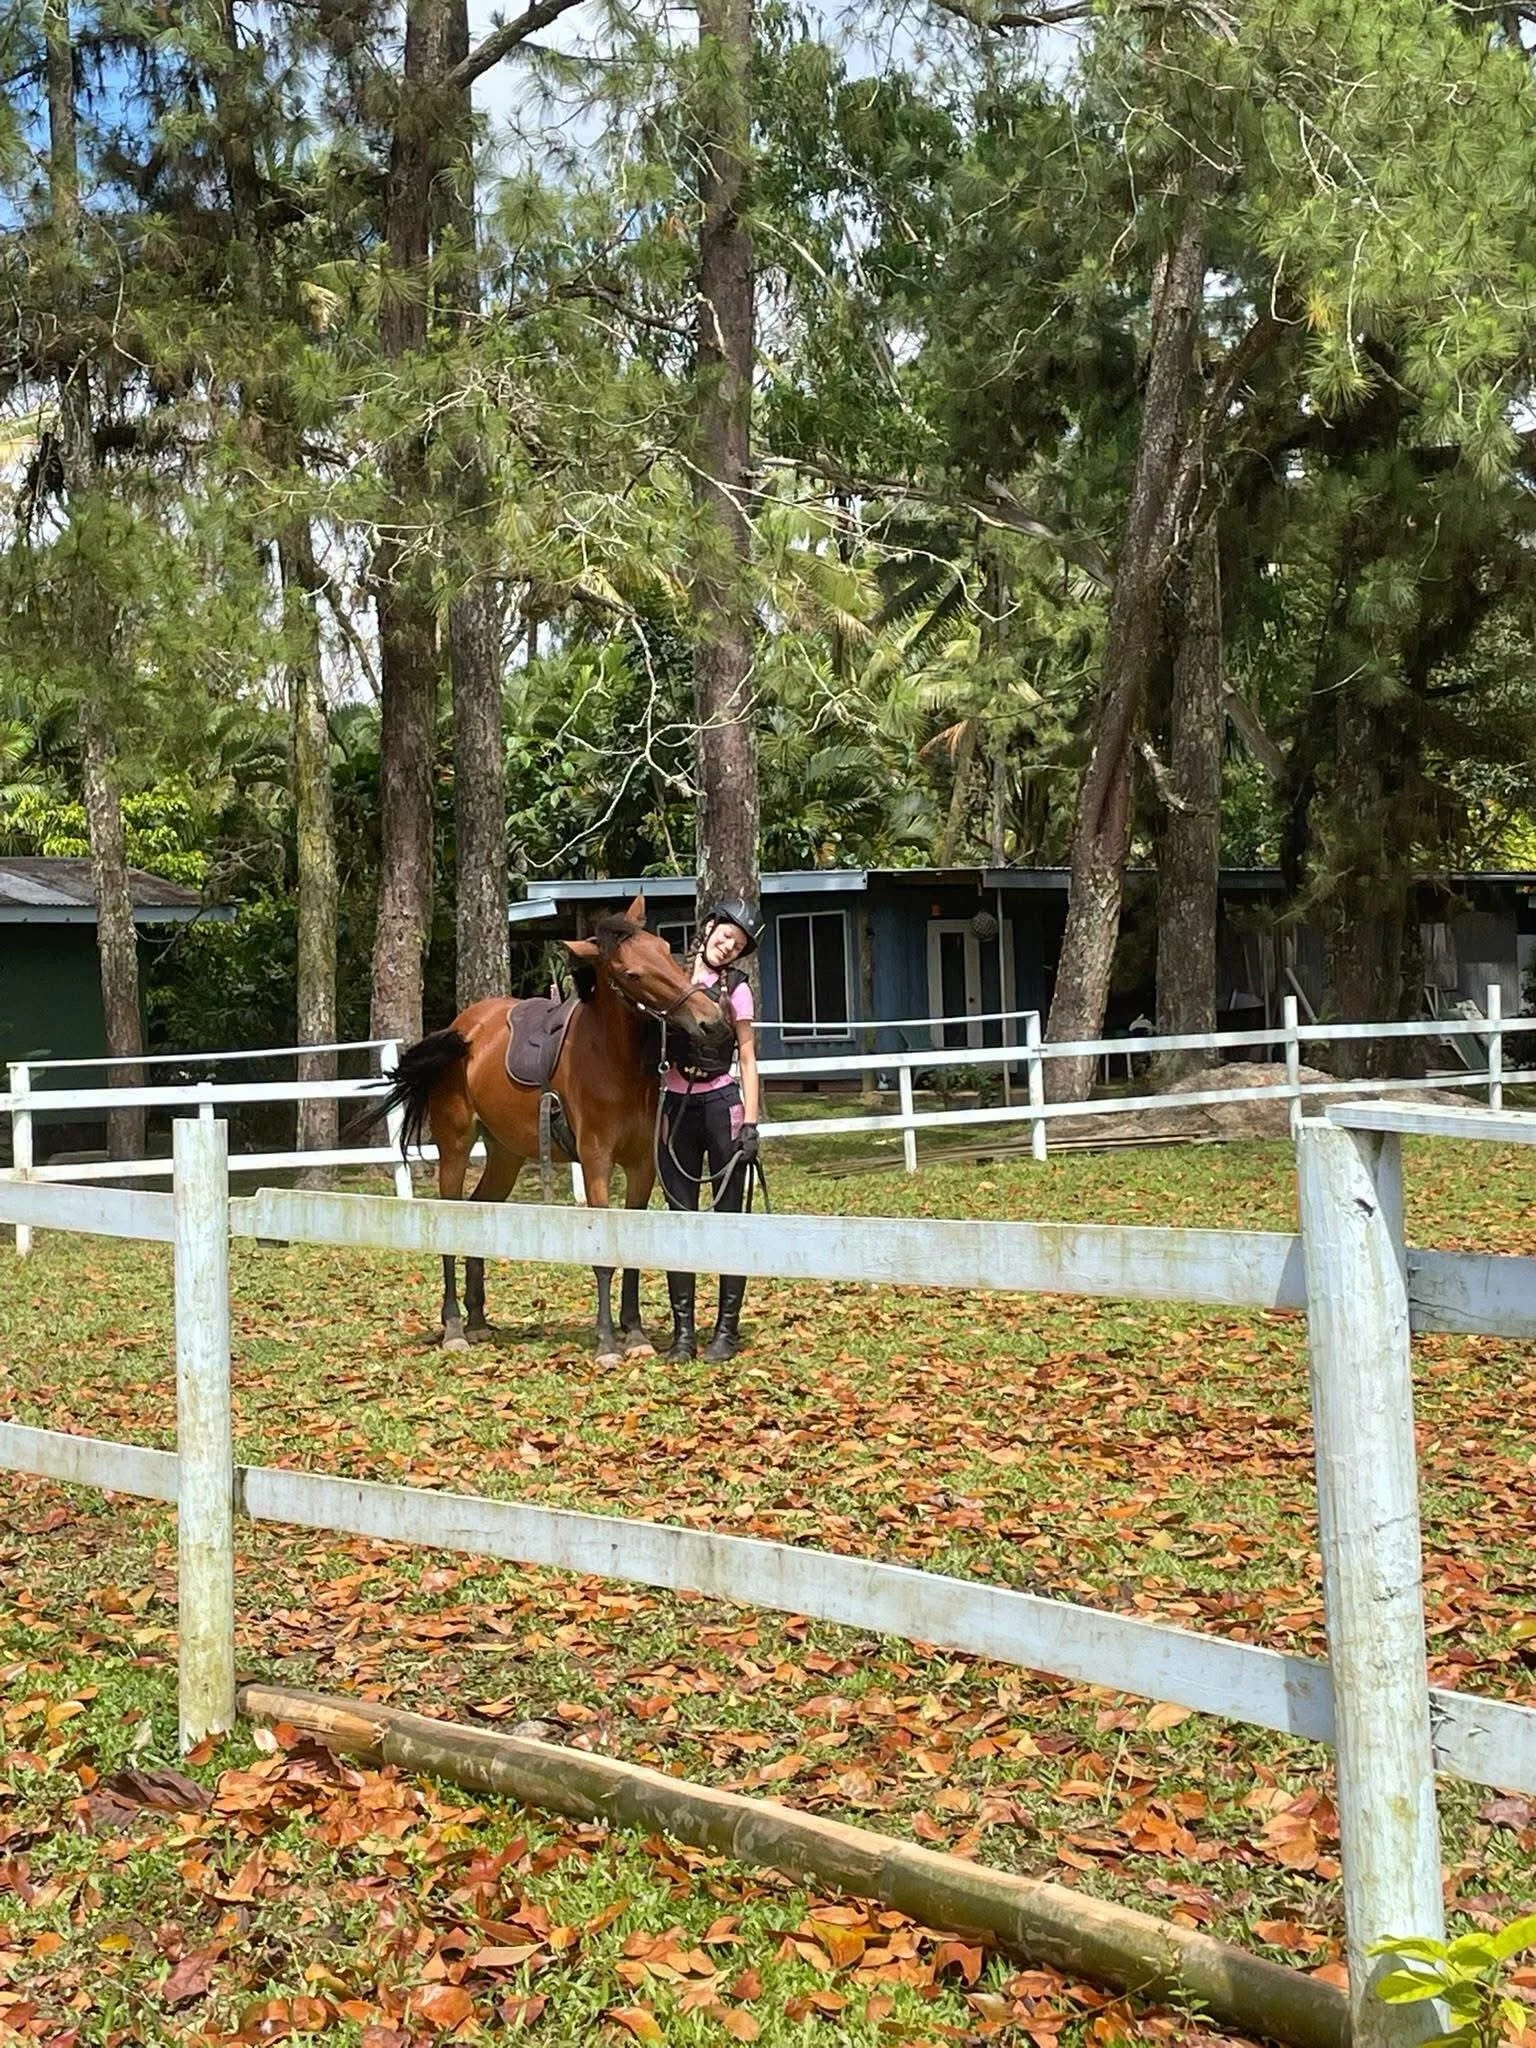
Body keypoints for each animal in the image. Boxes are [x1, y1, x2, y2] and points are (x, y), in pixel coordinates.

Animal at [373, 898, 735, 1363]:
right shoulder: (596, 1160)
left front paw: (635, 1335)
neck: (613, 1061)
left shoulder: (641, 1165)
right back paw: (454, 1327)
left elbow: (633, 1247)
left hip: (505, 1156)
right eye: (631, 974)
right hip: (455, 1148)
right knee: (452, 1224)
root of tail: (463, 1029)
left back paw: (477, 1322)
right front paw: (607, 1343)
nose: (712, 1022)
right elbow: (604, 1253)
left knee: (477, 1212)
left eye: (666, 948)